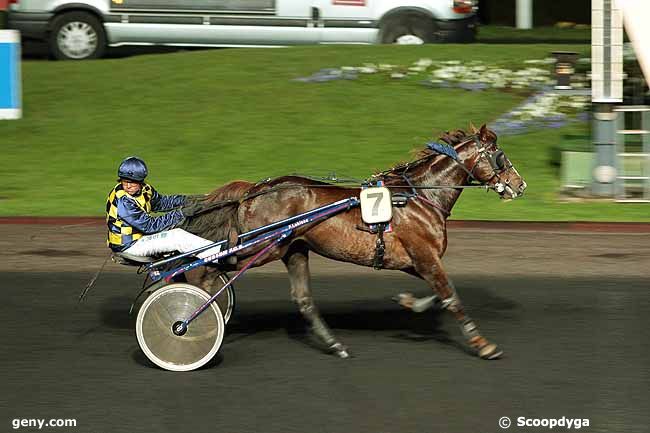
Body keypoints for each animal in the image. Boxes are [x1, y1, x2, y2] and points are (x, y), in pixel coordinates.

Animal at [180, 124, 524, 358]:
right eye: (500, 156)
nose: (520, 185)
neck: (419, 196)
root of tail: (253, 190)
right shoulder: (425, 255)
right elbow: (451, 296)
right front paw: (483, 345)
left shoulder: (414, 260)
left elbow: (441, 293)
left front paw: (409, 302)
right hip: (261, 246)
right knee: (207, 267)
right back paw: (193, 315)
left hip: (294, 249)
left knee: (304, 300)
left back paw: (335, 345)